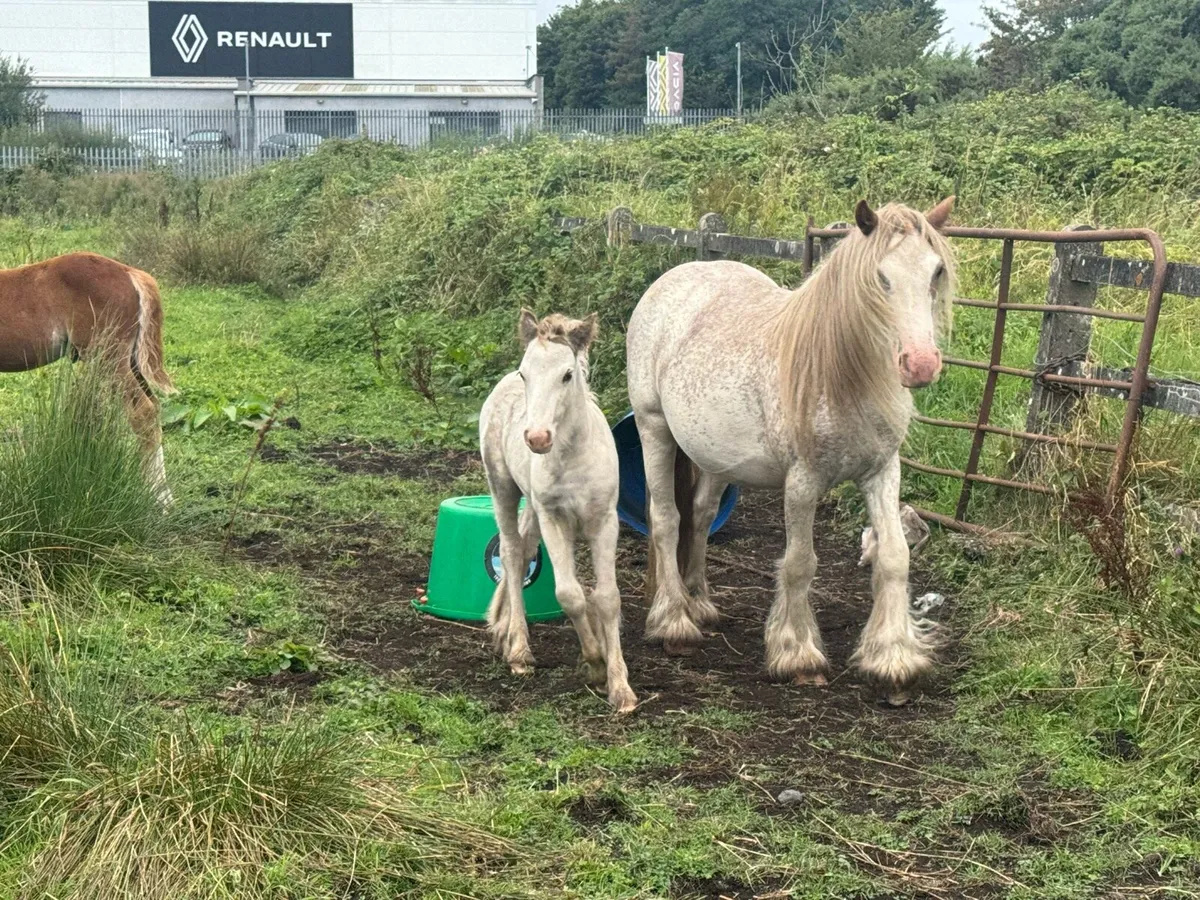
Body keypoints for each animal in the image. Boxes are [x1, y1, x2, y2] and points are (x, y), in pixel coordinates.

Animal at [0, 252, 176, 504]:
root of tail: (130, 273)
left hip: (109, 357)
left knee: (143, 411)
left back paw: (157, 497)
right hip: (129, 360)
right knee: (154, 405)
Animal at [479, 309, 637, 713]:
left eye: (567, 375)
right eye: (525, 373)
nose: (537, 438)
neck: (573, 456)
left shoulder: (604, 521)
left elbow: (607, 597)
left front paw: (621, 688)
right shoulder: (554, 519)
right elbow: (570, 594)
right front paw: (594, 661)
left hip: (533, 508)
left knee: (523, 548)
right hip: (502, 488)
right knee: (513, 552)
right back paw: (519, 650)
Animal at [625, 198, 957, 706]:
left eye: (936, 271)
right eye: (881, 277)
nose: (920, 364)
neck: (843, 374)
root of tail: (673, 278)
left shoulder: (882, 473)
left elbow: (894, 557)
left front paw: (894, 661)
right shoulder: (803, 483)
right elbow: (800, 564)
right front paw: (798, 655)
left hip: (714, 457)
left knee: (699, 516)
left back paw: (700, 604)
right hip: (653, 429)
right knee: (666, 520)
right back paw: (674, 623)